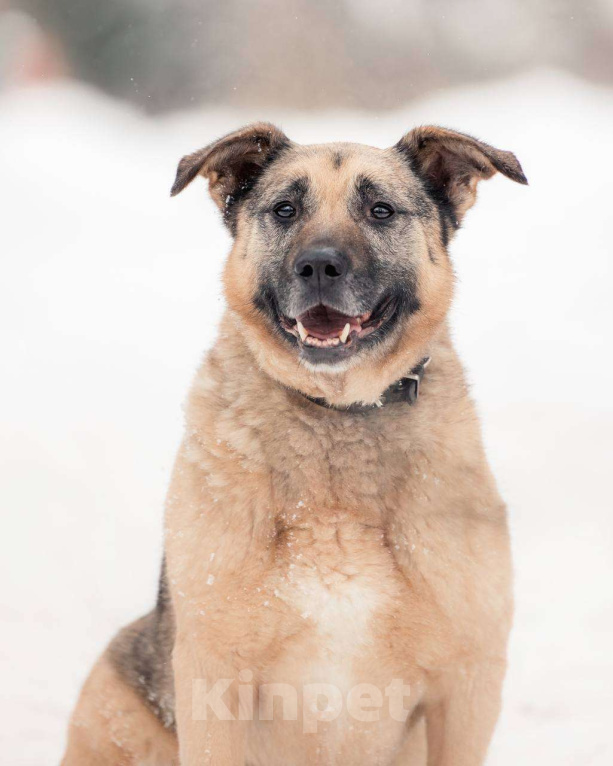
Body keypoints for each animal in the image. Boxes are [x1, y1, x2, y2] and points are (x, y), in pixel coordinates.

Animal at [62, 123, 524, 764]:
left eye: (380, 210)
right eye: (285, 209)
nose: (319, 265)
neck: (338, 414)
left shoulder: (468, 683)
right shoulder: (213, 677)